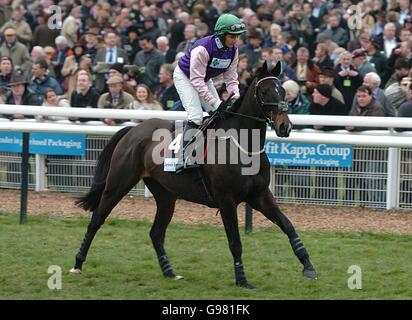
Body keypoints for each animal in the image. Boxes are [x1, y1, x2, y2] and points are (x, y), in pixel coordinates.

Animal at [71, 61, 318, 288]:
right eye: (265, 92)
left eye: (283, 91)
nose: (285, 126)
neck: (243, 145)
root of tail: (133, 130)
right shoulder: (226, 200)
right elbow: (235, 242)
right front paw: (242, 280)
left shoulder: (259, 195)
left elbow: (288, 225)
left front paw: (308, 267)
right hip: (118, 184)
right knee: (96, 220)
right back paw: (77, 263)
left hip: (166, 195)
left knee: (156, 233)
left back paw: (170, 273)